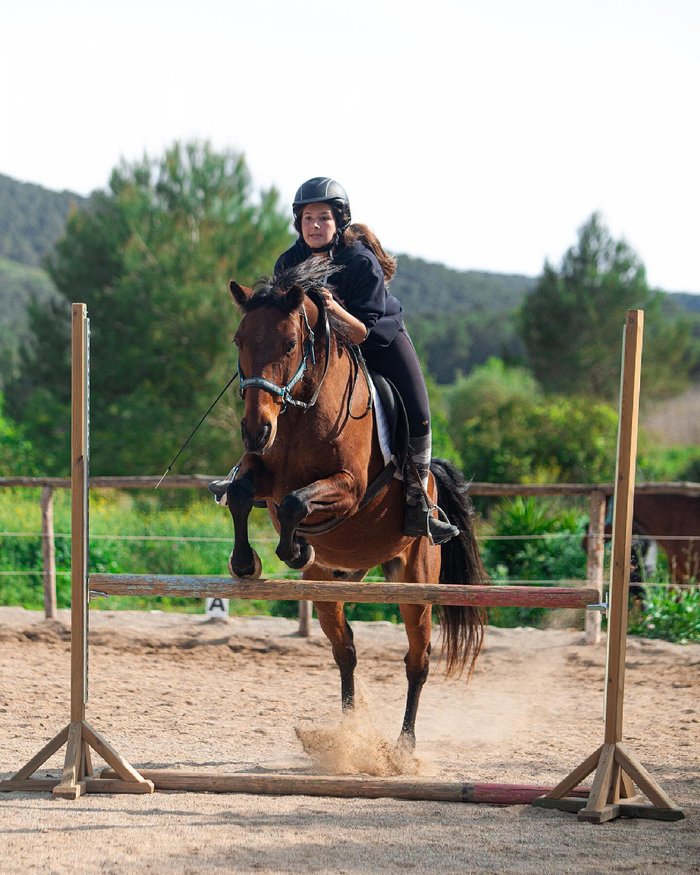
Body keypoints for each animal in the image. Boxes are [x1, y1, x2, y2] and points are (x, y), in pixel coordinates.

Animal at [223, 260, 486, 744]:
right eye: (239, 341)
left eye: (290, 344)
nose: (254, 431)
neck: (301, 409)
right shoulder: (263, 473)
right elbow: (240, 494)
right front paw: (246, 563)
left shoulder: (348, 488)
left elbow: (295, 503)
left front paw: (295, 549)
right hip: (330, 587)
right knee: (345, 651)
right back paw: (348, 734)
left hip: (416, 583)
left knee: (417, 661)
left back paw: (403, 745)